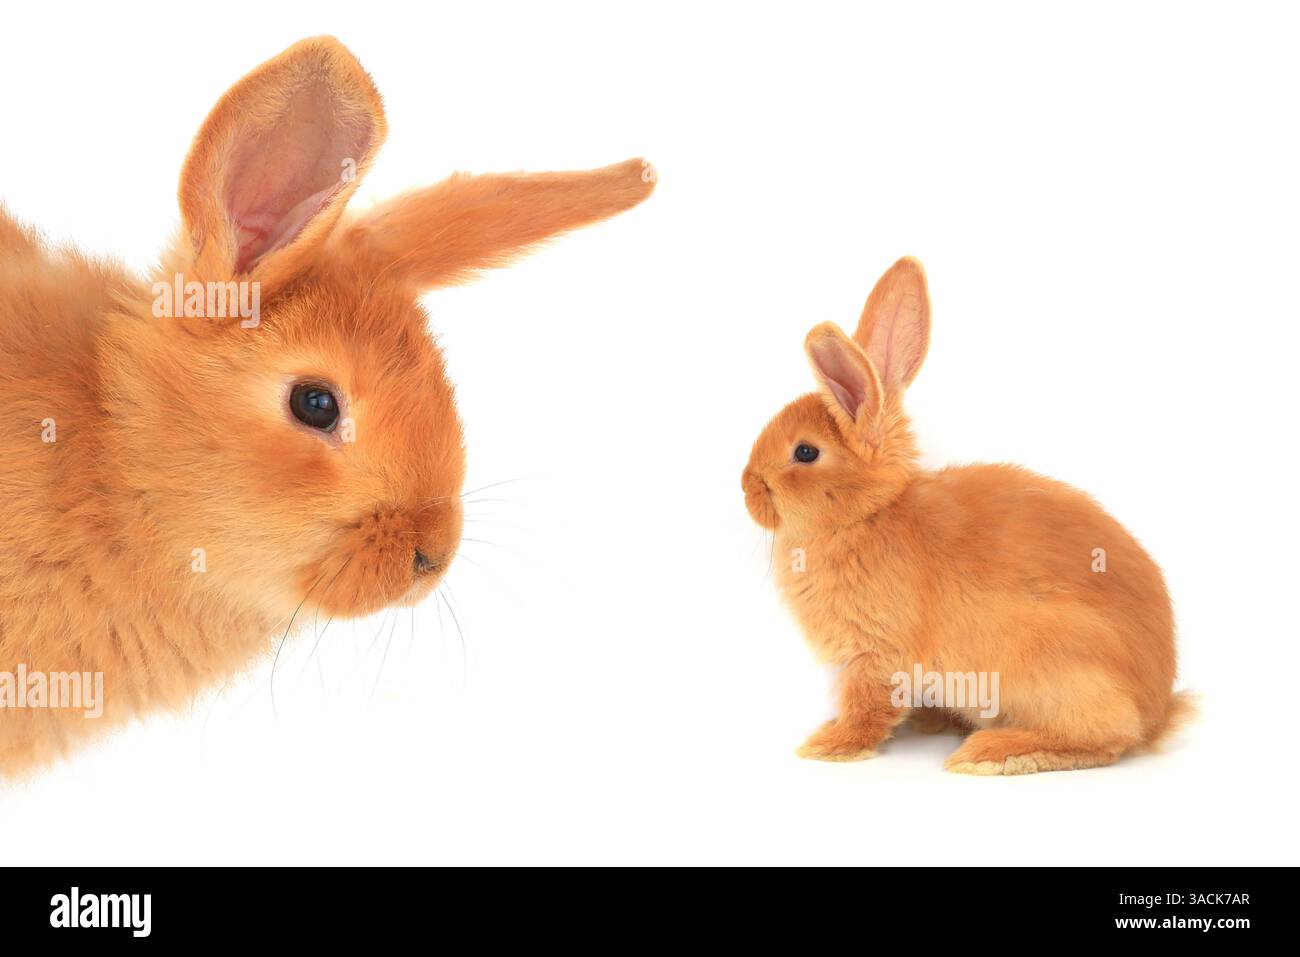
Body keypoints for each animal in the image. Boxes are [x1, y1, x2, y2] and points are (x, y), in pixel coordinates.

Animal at [742, 257, 1192, 774]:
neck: (868, 515)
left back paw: (991, 752)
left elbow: (868, 705)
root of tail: (1156, 712)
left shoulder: (878, 653)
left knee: (1106, 738)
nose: (746, 488)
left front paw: (830, 745)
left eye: (805, 452)